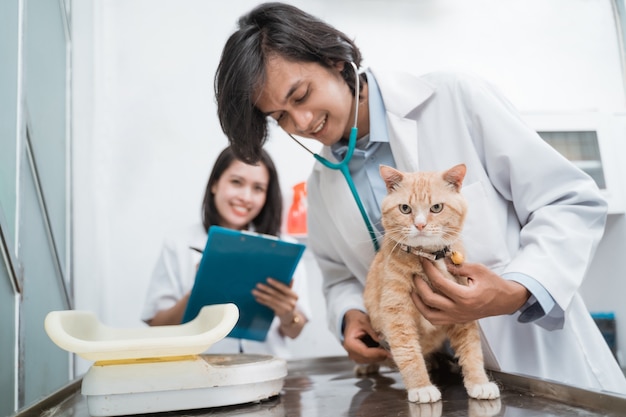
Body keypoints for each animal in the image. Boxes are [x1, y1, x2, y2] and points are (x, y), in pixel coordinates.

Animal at [360, 163, 498, 404]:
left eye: (436, 207)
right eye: (405, 208)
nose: (420, 224)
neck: (428, 257)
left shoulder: (462, 310)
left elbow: (472, 350)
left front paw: (479, 382)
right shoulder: (396, 312)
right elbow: (408, 352)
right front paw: (421, 387)